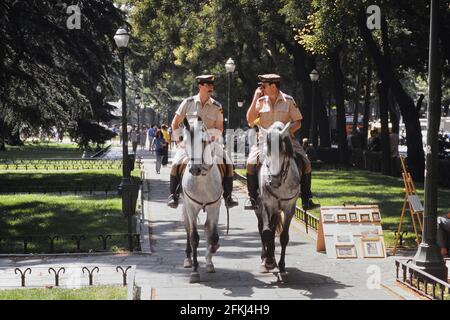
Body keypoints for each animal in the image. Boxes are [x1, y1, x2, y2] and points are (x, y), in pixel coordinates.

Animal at [179, 117, 221, 282]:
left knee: (208, 228)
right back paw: (188, 259)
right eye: (183, 140)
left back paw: (209, 262)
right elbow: (194, 237)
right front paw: (195, 271)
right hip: (185, 208)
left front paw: (212, 251)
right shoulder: (191, 207)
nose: (194, 169)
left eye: (203, 141)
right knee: (187, 229)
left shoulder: (215, 207)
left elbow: (213, 236)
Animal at [255, 121, 300, 276]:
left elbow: (284, 236)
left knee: (274, 227)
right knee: (262, 227)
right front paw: (268, 261)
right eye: (266, 153)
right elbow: (266, 232)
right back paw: (265, 257)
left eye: (283, 152)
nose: (273, 181)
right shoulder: (266, 205)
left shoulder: (289, 208)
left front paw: (281, 265)